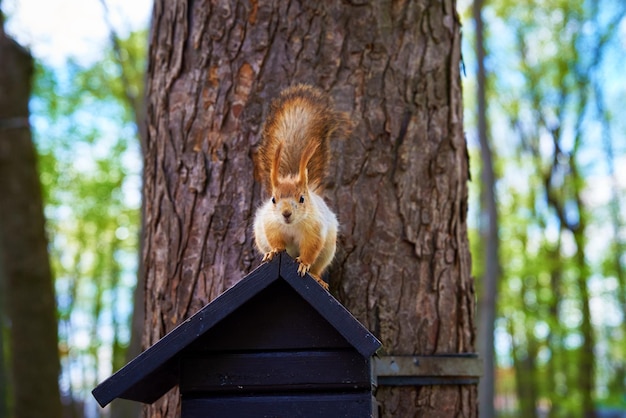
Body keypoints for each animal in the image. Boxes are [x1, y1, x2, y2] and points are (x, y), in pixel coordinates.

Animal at [251, 83, 344, 290]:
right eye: (273, 199)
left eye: (301, 199)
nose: (286, 214)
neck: (292, 225)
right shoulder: (271, 224)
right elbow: (275, 240)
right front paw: (274, 252)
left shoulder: (315, 230)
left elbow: (310, 250)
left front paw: (303, 264)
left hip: (328, 250)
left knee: (318, 266)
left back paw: (317, 278)